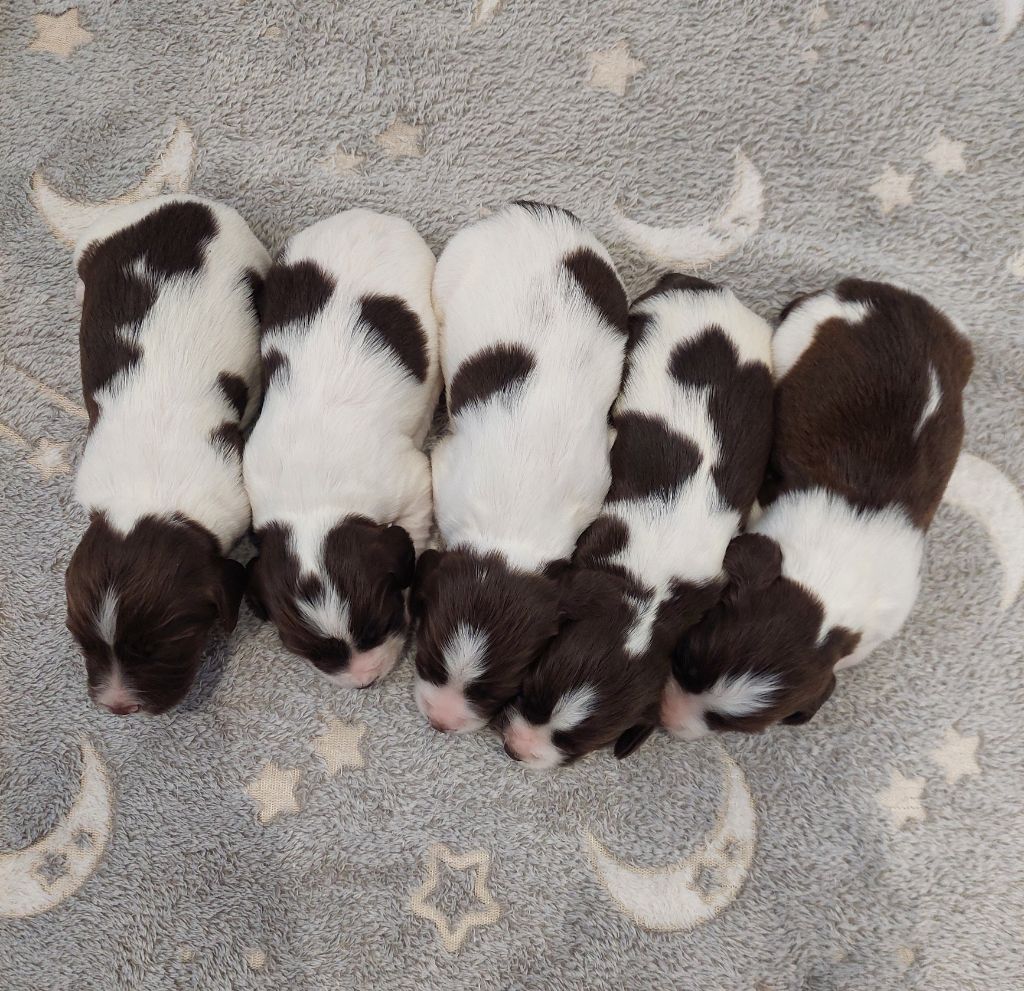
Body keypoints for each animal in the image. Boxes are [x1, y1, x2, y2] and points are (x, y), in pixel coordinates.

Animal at [62, 197, 272, 716]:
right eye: (84, 643)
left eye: (157, 648)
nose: (118, 707)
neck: (148, 498)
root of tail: (183, 201)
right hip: (98, 239)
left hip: (250, 254)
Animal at [247, 208, 444, 687]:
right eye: (310, 653)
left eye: (381, 624)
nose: (365, 680)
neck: (313, 498)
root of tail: (368, 215)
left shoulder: (411, 482)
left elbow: (413, 527)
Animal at [411, 203, 626, 737]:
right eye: (426, 660)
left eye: (499, 691)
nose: (441, 722)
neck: (510, 523)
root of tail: (532, 211)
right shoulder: (445, 469)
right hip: (454, 267)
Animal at [507, 274, 770, 769]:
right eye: (529, 694)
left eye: (575, 746)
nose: (514, 749)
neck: (647, 602)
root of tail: (703, 287)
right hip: (648, 323)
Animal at [663, 276, 974, 737]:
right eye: (684, 661)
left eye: (724, 725)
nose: (666, 719)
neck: (825, 586)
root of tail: (876, 294)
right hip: (795, 339)